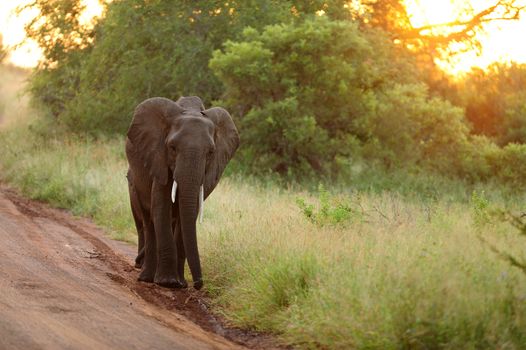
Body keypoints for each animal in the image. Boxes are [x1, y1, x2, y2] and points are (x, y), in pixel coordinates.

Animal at [125, 94, 240, 288]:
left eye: (211, 152)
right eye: (172, 147)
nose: (198, 284)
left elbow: (188, 212)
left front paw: (179, 284)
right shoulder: (159, 158)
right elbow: (161, 207)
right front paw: (168, 282)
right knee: (148, 220)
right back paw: (146, 278)